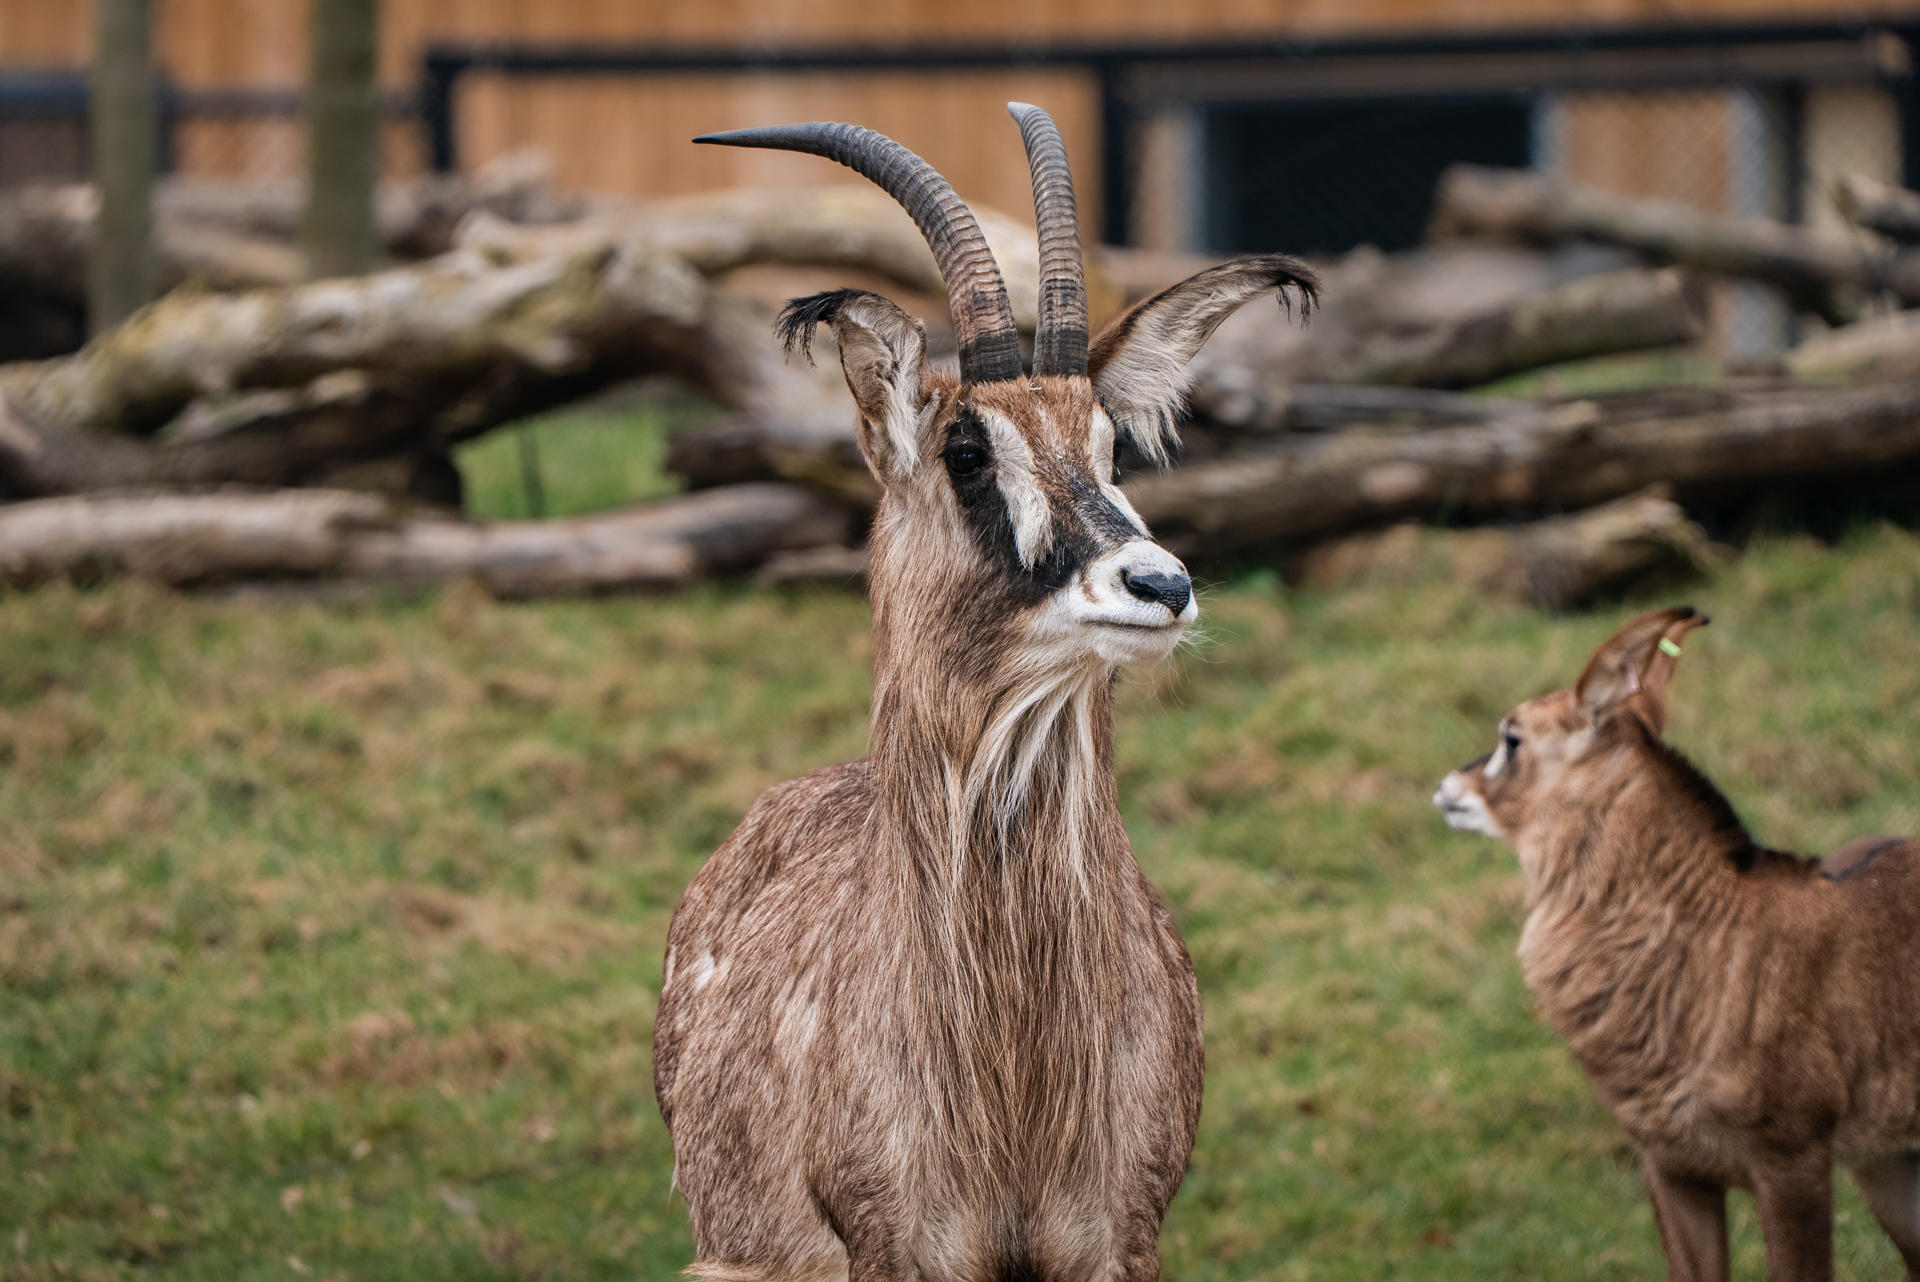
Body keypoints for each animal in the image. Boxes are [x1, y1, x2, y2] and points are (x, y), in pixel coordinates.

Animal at [651, 106, 1315, 1282]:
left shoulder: (1121, 1240)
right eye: (966, 448)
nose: (1162, 585)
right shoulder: (895, 1249)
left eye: (1110, 443)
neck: (1010, 1079)